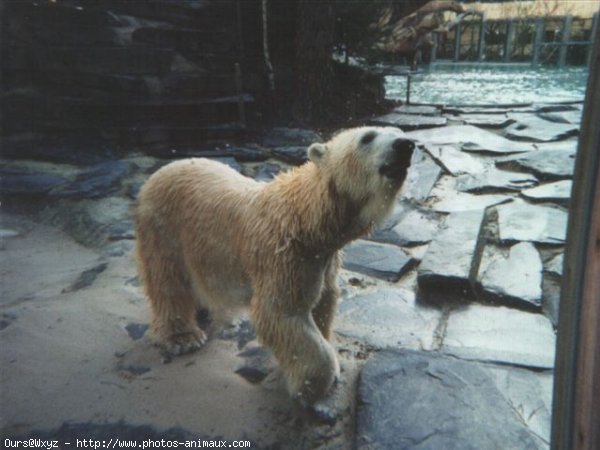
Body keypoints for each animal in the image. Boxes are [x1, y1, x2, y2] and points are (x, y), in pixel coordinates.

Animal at [135, 126, 414, 404]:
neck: (305, 218)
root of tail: (159, 172)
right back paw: (183, 338)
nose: (406, 145)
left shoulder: (323, 260)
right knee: (167, 280)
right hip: (164, 225)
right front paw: (312, 385)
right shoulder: (283, 258)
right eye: (367, 137)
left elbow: (324, 300)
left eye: (398, 131)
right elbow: (281, 313)